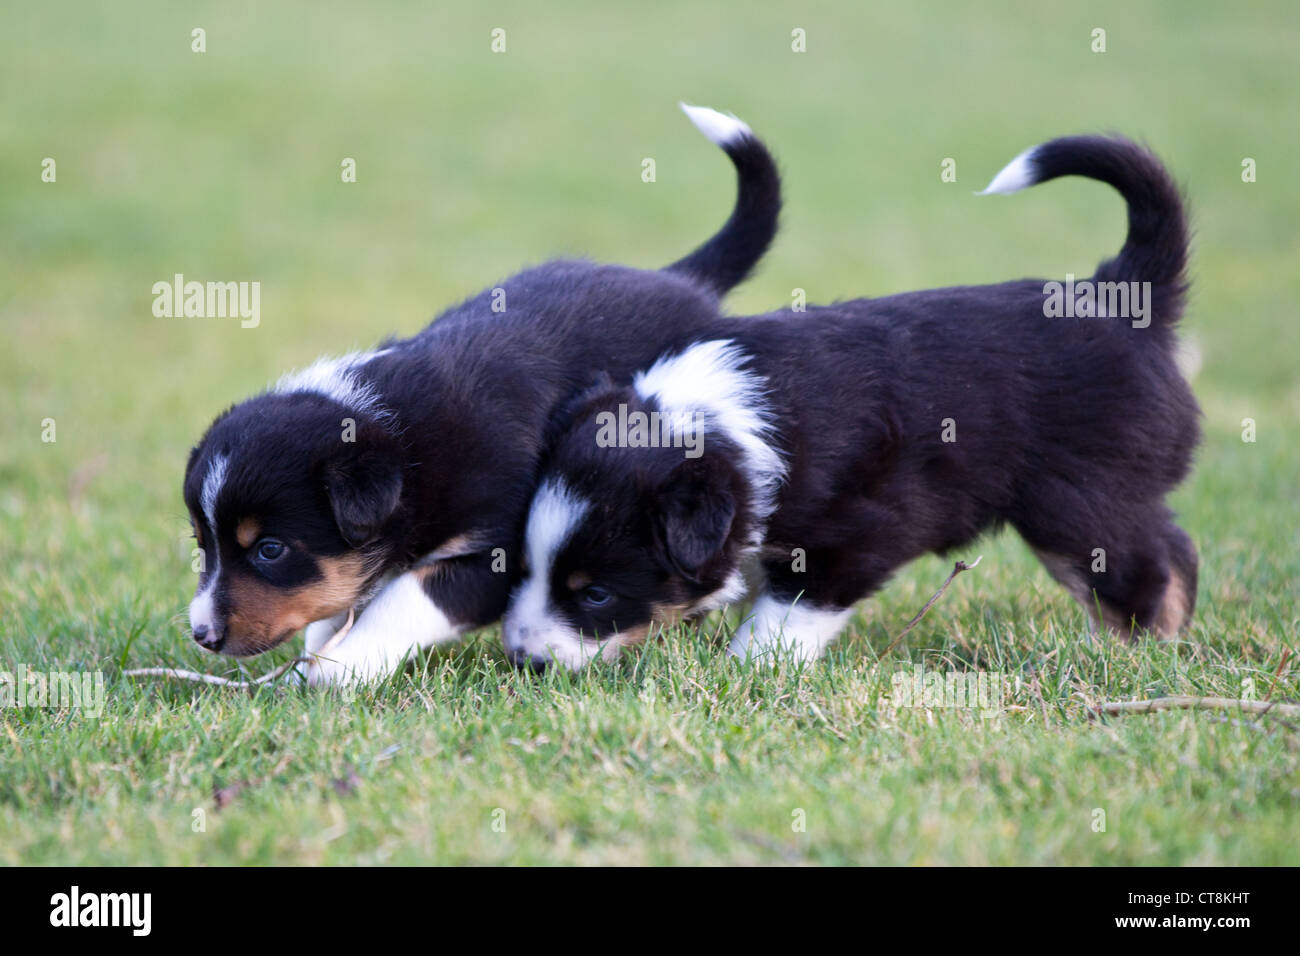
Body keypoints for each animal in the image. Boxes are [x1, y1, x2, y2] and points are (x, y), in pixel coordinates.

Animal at [183, 104, 780, 686]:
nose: (202, 635)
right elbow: (338, 602)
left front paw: (346, 667)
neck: (408, 443)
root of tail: (682, 278)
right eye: (201, 543)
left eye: (270, 549)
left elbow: (405, 598)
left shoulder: (499, 553)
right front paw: (313, 663)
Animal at [501, 134, 1201, 671]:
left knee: (1145, 571)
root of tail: (1117, 293)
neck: (728, 421)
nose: (522, 661)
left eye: (594, 595)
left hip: (1077, 499)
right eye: (525, 569)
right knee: (1175, 549)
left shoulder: (859, 531)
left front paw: (749, 669)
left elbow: (787, 613)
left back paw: (1131, 654)